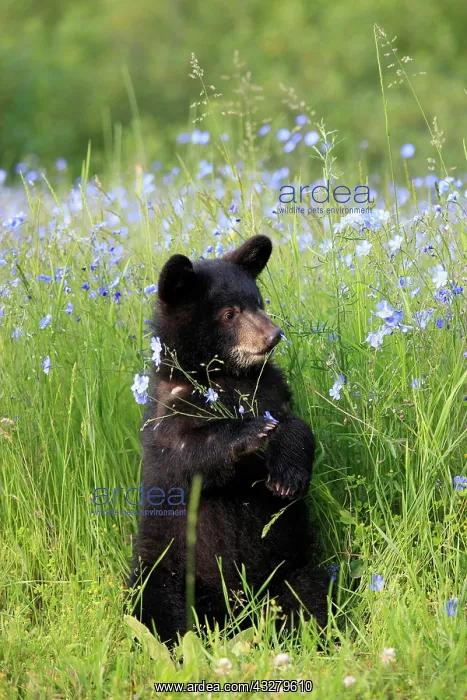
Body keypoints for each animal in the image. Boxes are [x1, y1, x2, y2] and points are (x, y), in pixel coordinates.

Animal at [129, 234, 329, 644]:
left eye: (258, 302)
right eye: (229, 314)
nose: (273, 335)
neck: (226, 378)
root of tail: (230, 614)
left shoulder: (270, 389)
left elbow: (296, 425)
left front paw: (285, 477)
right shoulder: (168, 413)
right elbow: (188, 455)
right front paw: (250, 432)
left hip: (293, 569)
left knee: (310, 594)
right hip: (165, 567)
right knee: (154, 607)